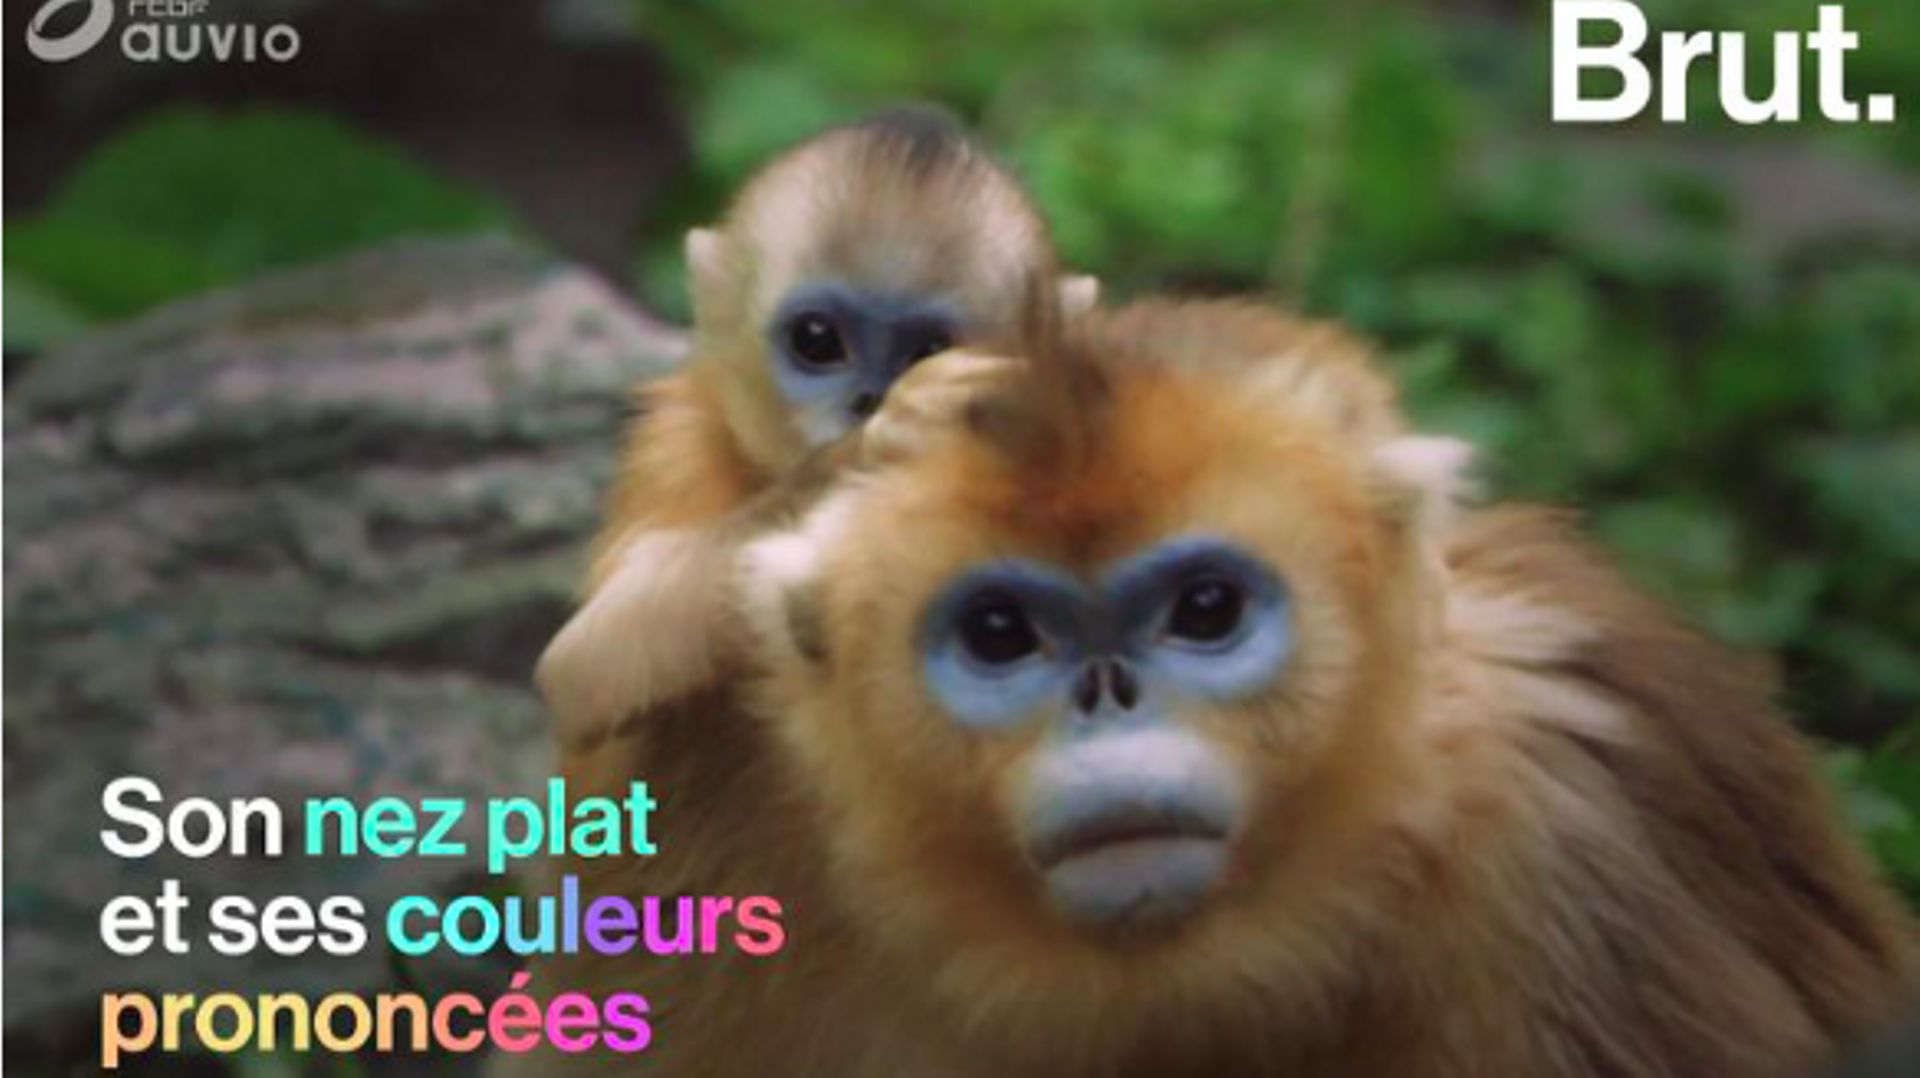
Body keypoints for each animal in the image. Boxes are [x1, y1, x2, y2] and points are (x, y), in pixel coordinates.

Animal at [536, 108, 1097, 746]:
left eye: (929, 349)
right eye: (817, 339)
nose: (867, 401)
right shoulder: (677, 446)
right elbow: (582, 664)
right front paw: (884, 441)